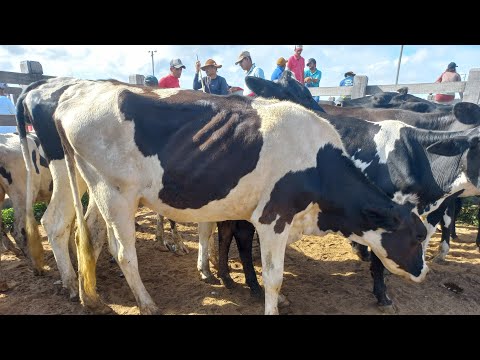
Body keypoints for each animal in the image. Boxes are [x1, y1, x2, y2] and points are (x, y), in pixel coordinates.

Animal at [15, 77, 428, 314]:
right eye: (416, 237)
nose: (423, 271)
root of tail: (71, 95)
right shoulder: (273, 218)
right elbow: (273, 276)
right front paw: (269, 303)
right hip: (112, 192)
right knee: (117, 248)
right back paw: (144, 303)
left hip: (94, 187)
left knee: (79, 229)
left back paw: (86, 291)